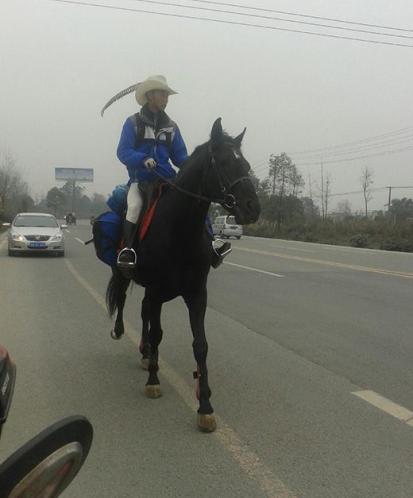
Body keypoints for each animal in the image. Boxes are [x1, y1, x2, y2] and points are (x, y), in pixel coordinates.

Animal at [106, 118, 260, 432]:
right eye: (224, 163)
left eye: (246, 164)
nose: (253, 208)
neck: (179, 230)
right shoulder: (156, 290)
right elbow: (158, 333)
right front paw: (153, 380)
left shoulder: (197, 294)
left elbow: (200, 346)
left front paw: (205, 405)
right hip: (128, 275)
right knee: (125, 299)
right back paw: (124, 334)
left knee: (144, 313)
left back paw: (144, 354)